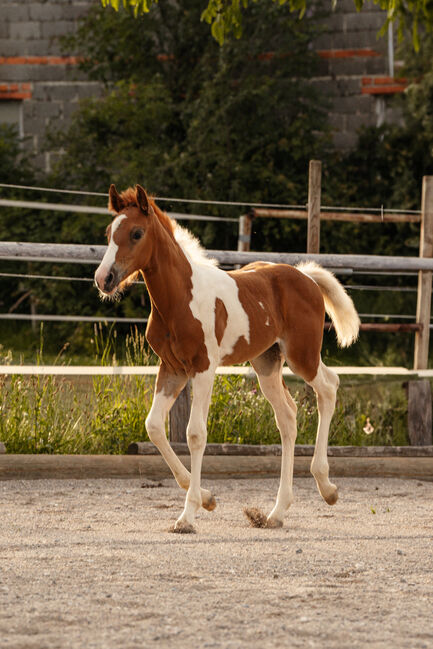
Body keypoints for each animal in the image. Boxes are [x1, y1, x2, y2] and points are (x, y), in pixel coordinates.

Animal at [95, 182, 362, 532]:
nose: (104, 279)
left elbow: (195, 434)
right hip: (266, 363)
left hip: (302, 355)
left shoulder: (203, 367)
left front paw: (188, 514)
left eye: (137, 233)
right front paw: (207, 498)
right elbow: (153, 426)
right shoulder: (172, 369)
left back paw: (326, 487)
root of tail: (306, 278)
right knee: (287, 418)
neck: (180, 299)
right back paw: (276, 512)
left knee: (329, 387)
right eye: (109, 232)